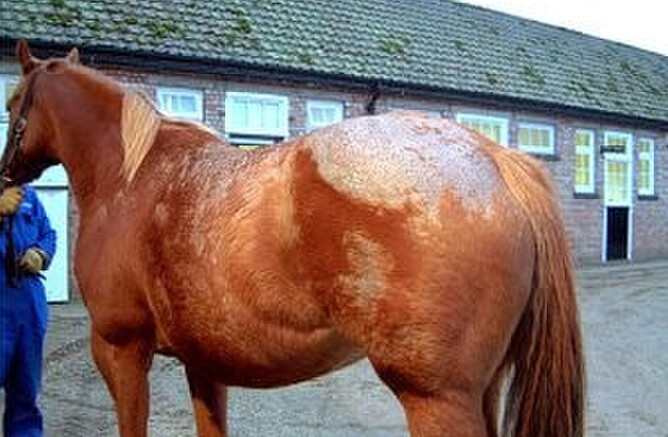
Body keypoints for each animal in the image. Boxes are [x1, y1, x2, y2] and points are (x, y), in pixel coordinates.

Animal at [2, 40, 584, 437]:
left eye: (11, 104)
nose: (7, 175)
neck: (131, 178)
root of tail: (492, 160)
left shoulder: (121, 351)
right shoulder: (203, 362)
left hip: (437, 398)